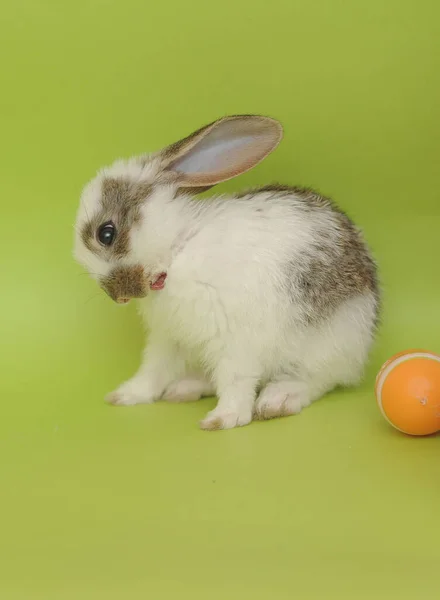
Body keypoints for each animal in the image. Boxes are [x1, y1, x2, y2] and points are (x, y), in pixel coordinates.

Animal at [74, 113, 380, 432]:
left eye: (106, 233)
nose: (118, 297)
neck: (176, 251)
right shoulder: (168, 337)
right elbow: (153, 370)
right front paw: (125, 396)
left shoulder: (234, 339)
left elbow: (235, 380)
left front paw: (223, 419)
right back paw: (186, 388)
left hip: (324, 347)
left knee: (317, 381)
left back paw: (277, 400)